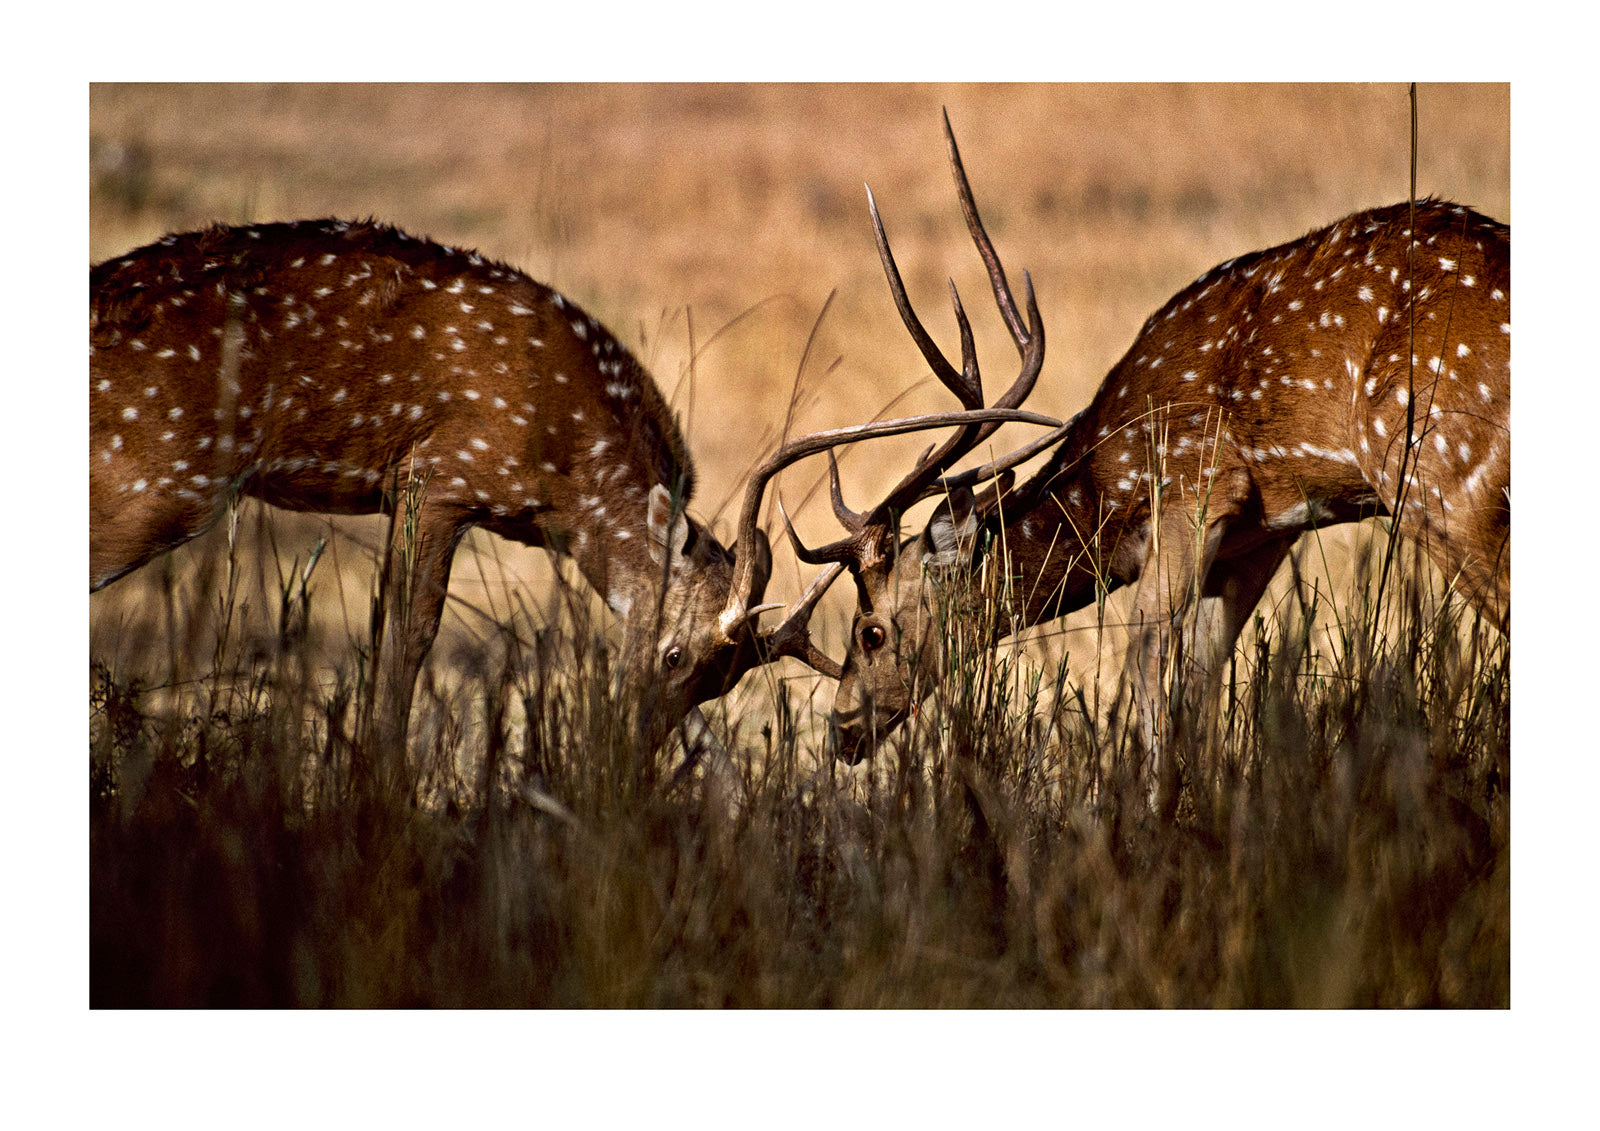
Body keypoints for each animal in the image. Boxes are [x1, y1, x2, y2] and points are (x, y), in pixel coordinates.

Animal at [90, 219, 851, 751]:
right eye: (674, 652)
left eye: (714, 687)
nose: (628, 752)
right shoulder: (438, 475)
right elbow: (409, 636)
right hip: (157, 472)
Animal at [787, 115, 1510, 774]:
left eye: (870, 631)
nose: (842, 732)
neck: (1106, 494)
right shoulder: (1263, 534)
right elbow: (1203, 682)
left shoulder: (1192, 492)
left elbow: (1144, 663)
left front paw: (1150, 807)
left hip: (1443, 476)